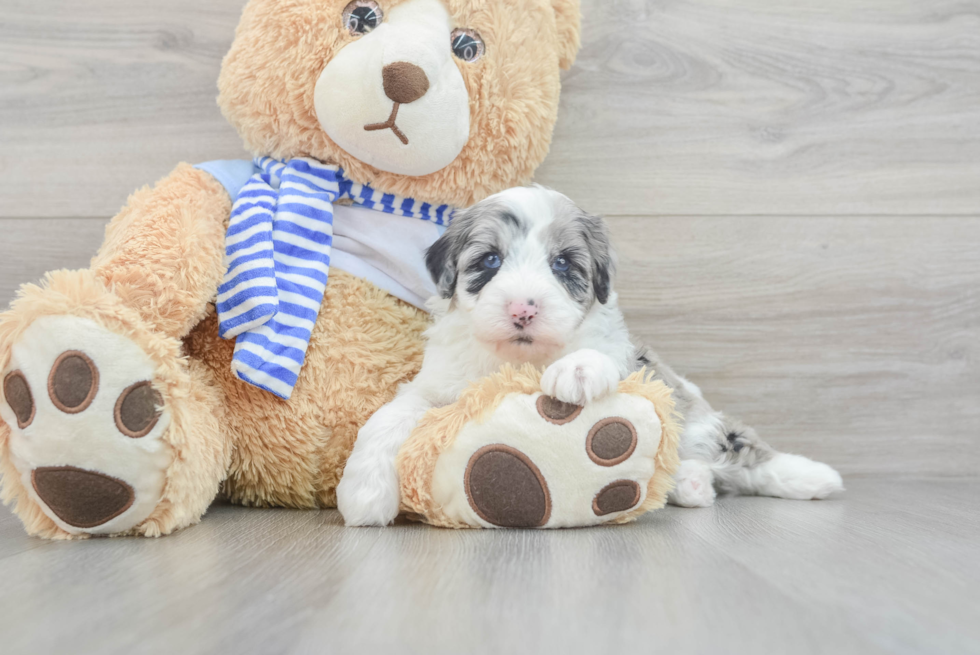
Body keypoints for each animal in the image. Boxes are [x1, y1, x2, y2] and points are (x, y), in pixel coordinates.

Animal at [338, 187, 844, 524]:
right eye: (490, 261)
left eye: (562, 263)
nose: (523, 308)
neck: (519, 360)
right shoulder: (435, 387)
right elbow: (386, 418)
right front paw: (363, 493)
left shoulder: (626, 358)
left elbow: (597, 355)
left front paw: (577, 369)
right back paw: (690, 484)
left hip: (693, 412)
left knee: (739, 450)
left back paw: (811, 476)